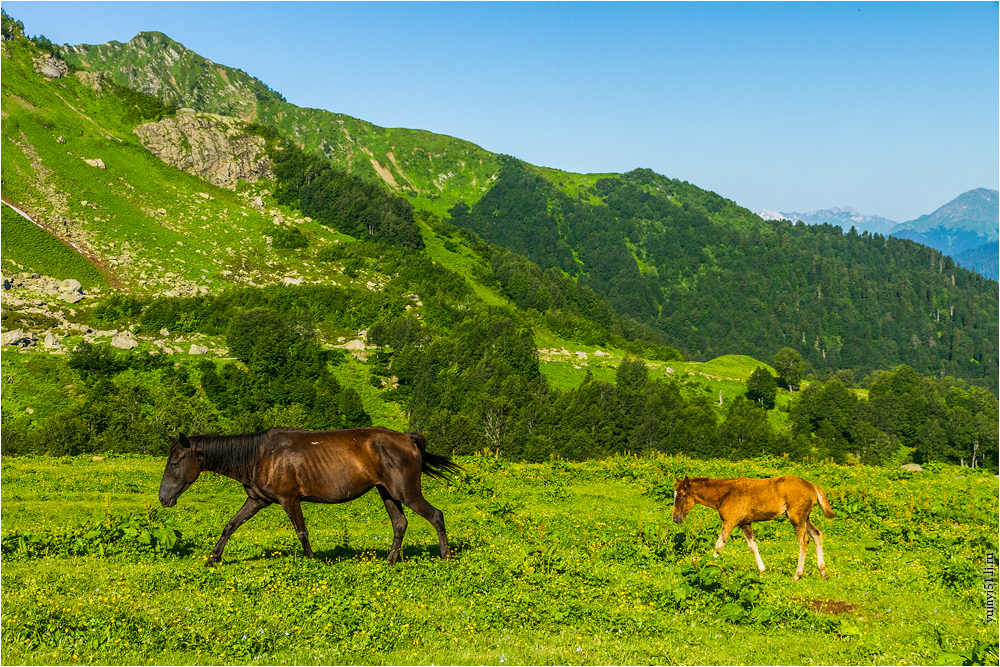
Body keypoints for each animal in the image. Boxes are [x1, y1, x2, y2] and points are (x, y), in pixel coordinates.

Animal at [159, 428, 460, 568]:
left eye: (175, 463)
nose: (163, 498)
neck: (259, 456)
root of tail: (408, 440)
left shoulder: (289, 499)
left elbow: (302, 532)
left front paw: (312, 561)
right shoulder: (257, 501)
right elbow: (230, 525)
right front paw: (213, 558)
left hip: (405, 493)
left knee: (436, 516)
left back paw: (446, 556)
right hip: (387, 493)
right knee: (400, 524)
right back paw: (390, 560)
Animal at [672, 474, 836, 580]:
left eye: (680, 496)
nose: (675, 519)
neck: (725, 493)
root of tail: (812, 486)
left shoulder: (729, 522)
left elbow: (718, 546)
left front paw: (710, 568)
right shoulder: (744, 523)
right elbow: (753, 546)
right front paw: (762, 572)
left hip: (796, 517)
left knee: (803, 541)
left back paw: (797, 575)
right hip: (805, 518)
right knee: (817, 534)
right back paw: (823, 573)